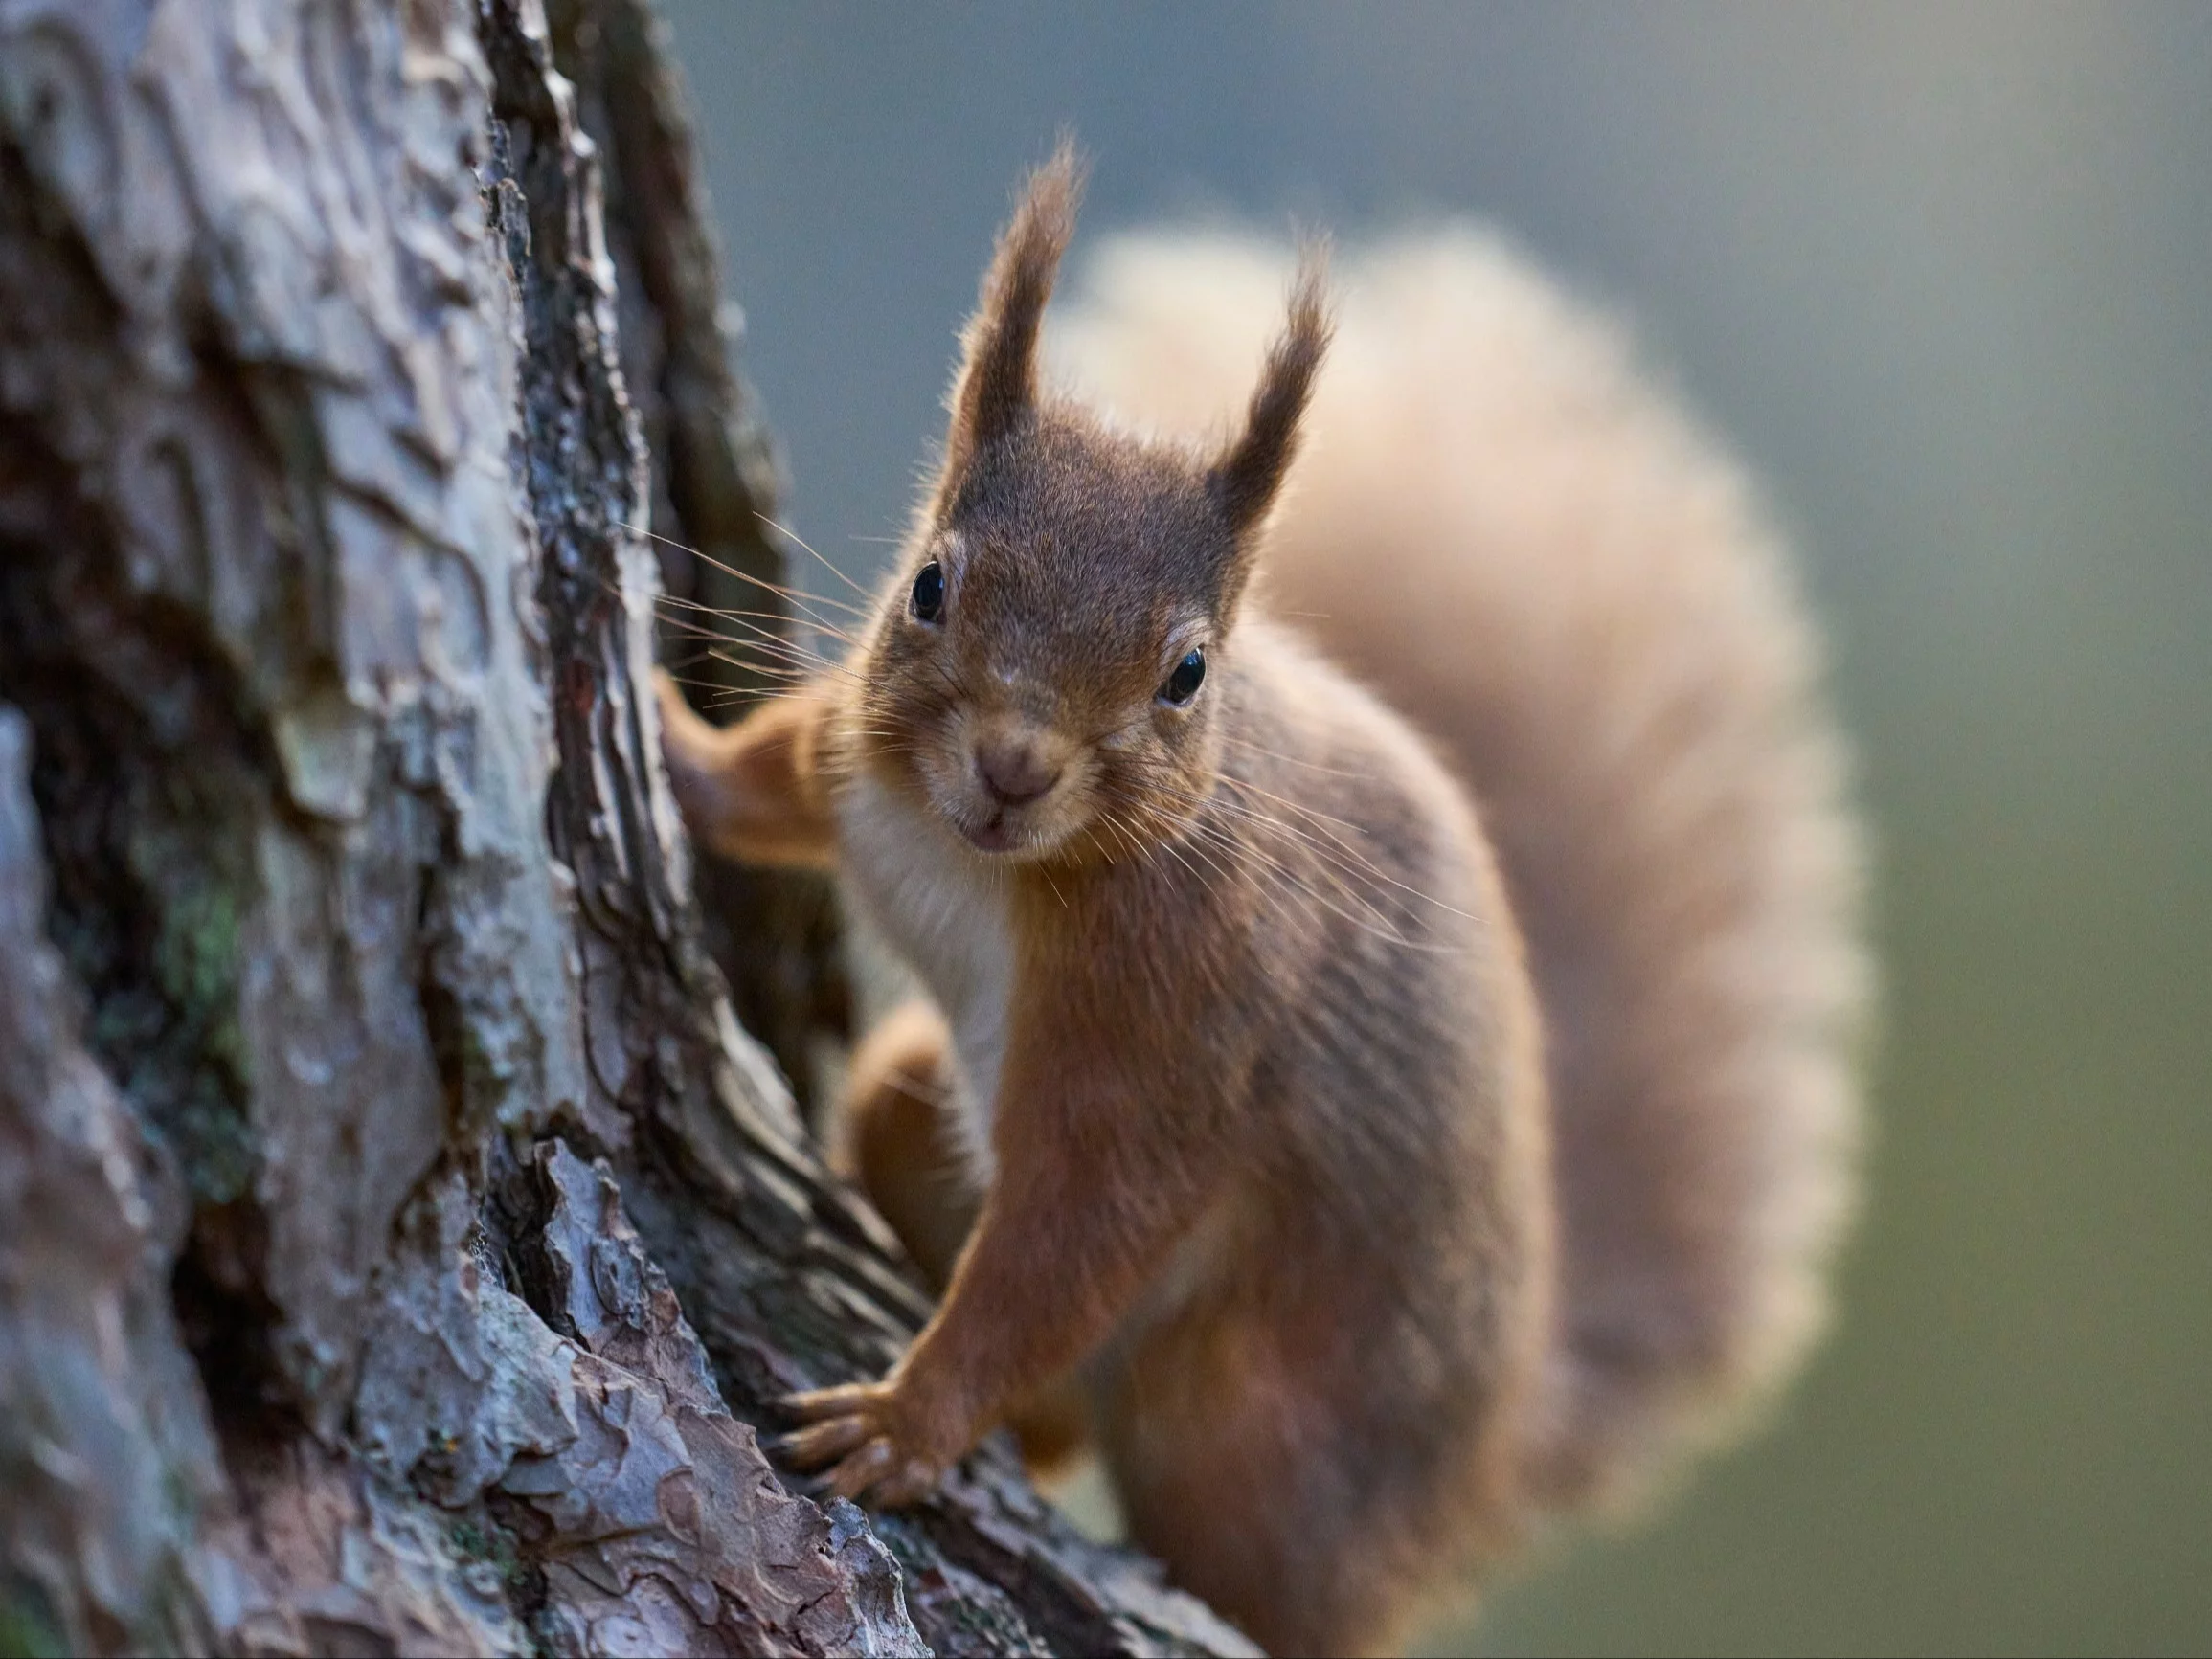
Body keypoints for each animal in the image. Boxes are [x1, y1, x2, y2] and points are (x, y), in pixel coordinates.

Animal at [650, 148, 1866, 1654]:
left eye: (1187, 672)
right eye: (929, 583)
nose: (1011, 764)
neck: (988, 866)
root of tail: (1484, 1456)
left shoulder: (1179, 1028)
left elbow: (1069, 1245)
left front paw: (906, 1419)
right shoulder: (859, 765)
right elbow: (770, 779)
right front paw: (665, 743)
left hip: (1242, 1417)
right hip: (904, 1103)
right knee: (1041, 1390)